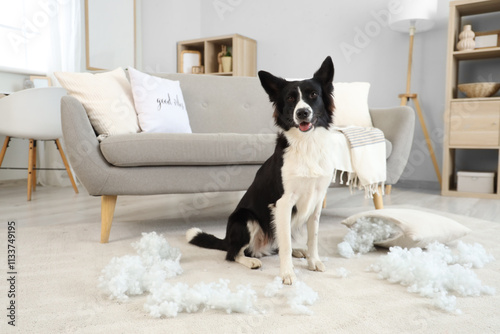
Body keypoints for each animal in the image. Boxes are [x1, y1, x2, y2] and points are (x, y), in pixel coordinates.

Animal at [188, 56, 336, 284]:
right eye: (291, 98)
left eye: (313, 95)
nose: (302, 113)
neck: (306, 144)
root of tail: (226, 239)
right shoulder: (282, 203)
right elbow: (285, 244)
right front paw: (287, 273)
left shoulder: (317, 200)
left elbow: (313, 237)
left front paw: (313, 261)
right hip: (245, 219)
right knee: (233, 254)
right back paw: (250, 260)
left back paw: (297, 251)